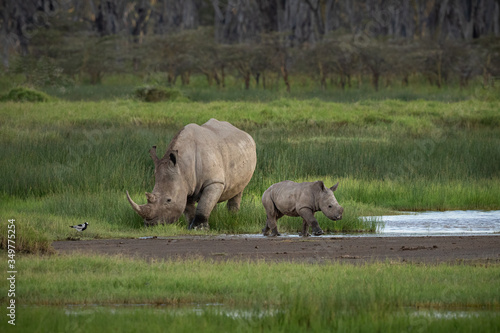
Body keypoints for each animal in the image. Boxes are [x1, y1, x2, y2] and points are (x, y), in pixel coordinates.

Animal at [127, 118, 256, 230]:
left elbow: (203, 205)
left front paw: (199, 228)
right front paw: (191, 226)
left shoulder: (213, 181)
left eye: (168, 200)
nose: (151, 225)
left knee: (238, 190)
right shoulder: (184, 184)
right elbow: (189, 208)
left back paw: (232, 218)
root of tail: (244, 133)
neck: (182, 166)